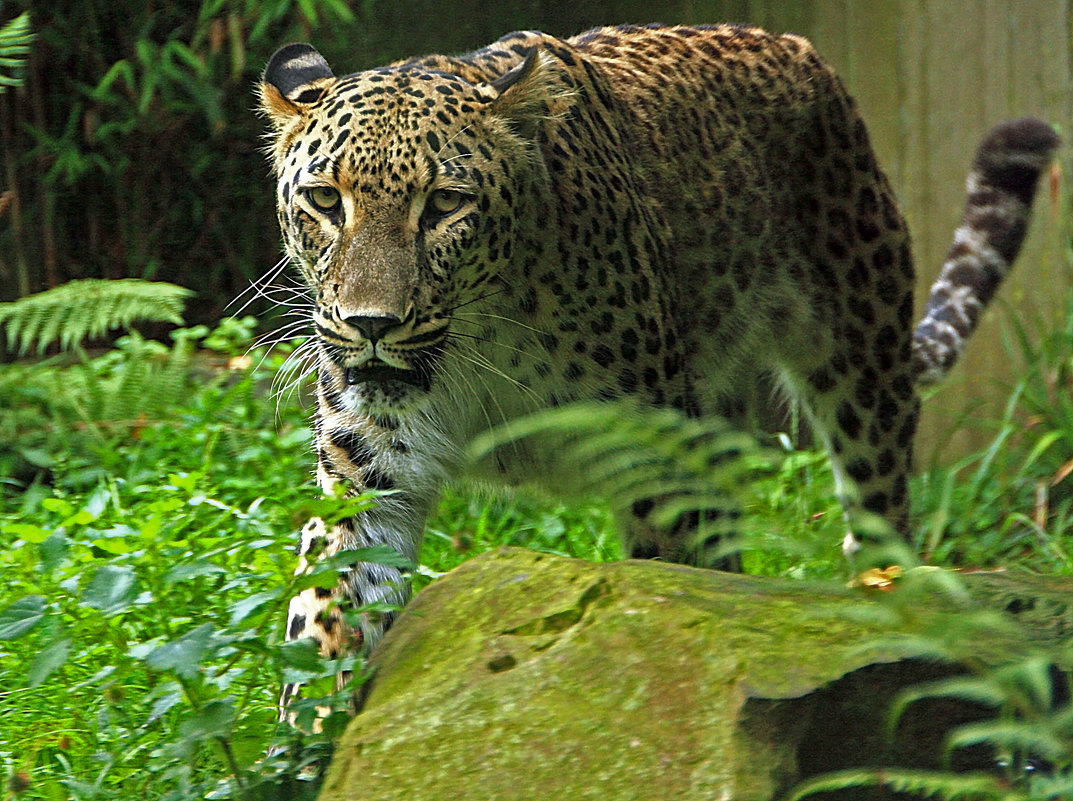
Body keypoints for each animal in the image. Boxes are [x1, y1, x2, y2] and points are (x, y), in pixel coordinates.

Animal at [259, 23, 1055, 716]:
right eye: (325, 200)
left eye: (445, 205)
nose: (371, 325)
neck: (479, 341)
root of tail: (797, 47)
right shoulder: (368, 468)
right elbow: (328, 611)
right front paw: (309, 744)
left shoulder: (652, 460)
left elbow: (661, 602)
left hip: (860, 358)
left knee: (877, 512)